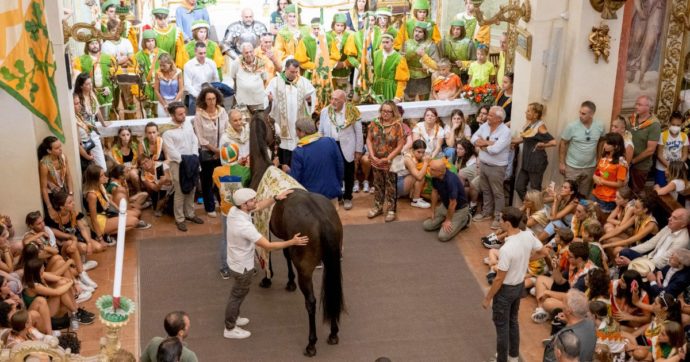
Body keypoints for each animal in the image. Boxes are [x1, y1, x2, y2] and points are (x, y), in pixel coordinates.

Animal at [247, 114, 344, 356]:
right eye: (272, 121)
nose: (280, 139)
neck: (264, 168)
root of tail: (322, 218)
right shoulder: (286, 237)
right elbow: (285, 254)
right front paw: (289, 282)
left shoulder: (261, 226)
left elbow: (269, 253)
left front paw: (267, 278)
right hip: (332, 262)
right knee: (333, 292)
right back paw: (333, 332)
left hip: (306, 269)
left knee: (311, 301)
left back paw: (311, 343)